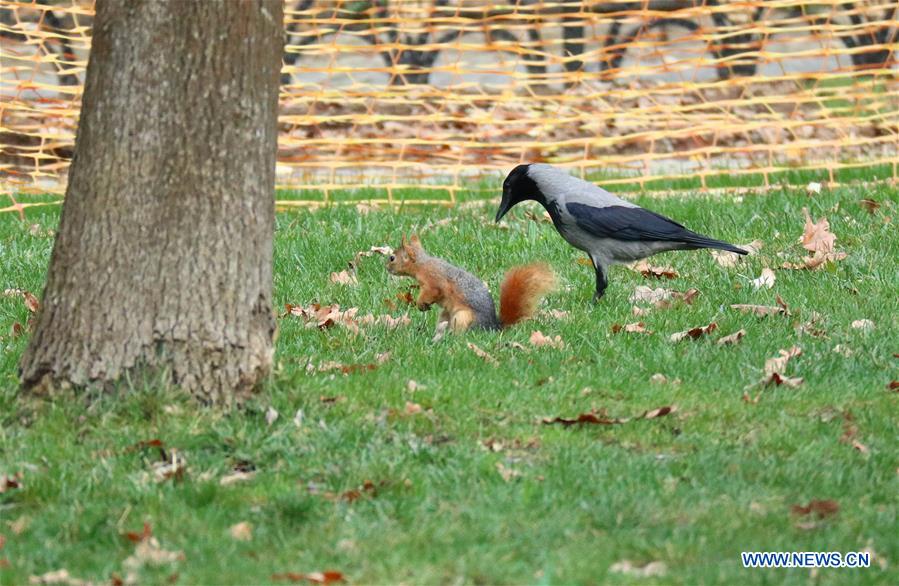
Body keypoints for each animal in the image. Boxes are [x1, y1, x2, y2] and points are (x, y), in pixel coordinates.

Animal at [386, 234, 556, 334]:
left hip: (462, 317)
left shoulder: (433, 282)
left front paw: (421, 304)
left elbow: (431, 292)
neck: (422, 265)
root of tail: (491, 328)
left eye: (392, 258)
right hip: (447, 314)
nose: (386, 268)